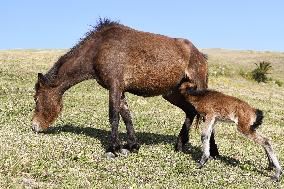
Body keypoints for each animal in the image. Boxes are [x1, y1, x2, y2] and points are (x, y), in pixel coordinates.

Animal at [31, 18, 217, 157]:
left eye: (36, 98)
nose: (34, 126)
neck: (97, 49)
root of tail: (200, 54)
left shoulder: (115, 87)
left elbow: (114, 117)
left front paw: (112, 148)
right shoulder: (119, 90)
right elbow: (126, 116)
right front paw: (132, 145)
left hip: (197, 89)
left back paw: (213, 152)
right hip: (172, 93)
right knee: (190, 111)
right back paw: (180, 144)